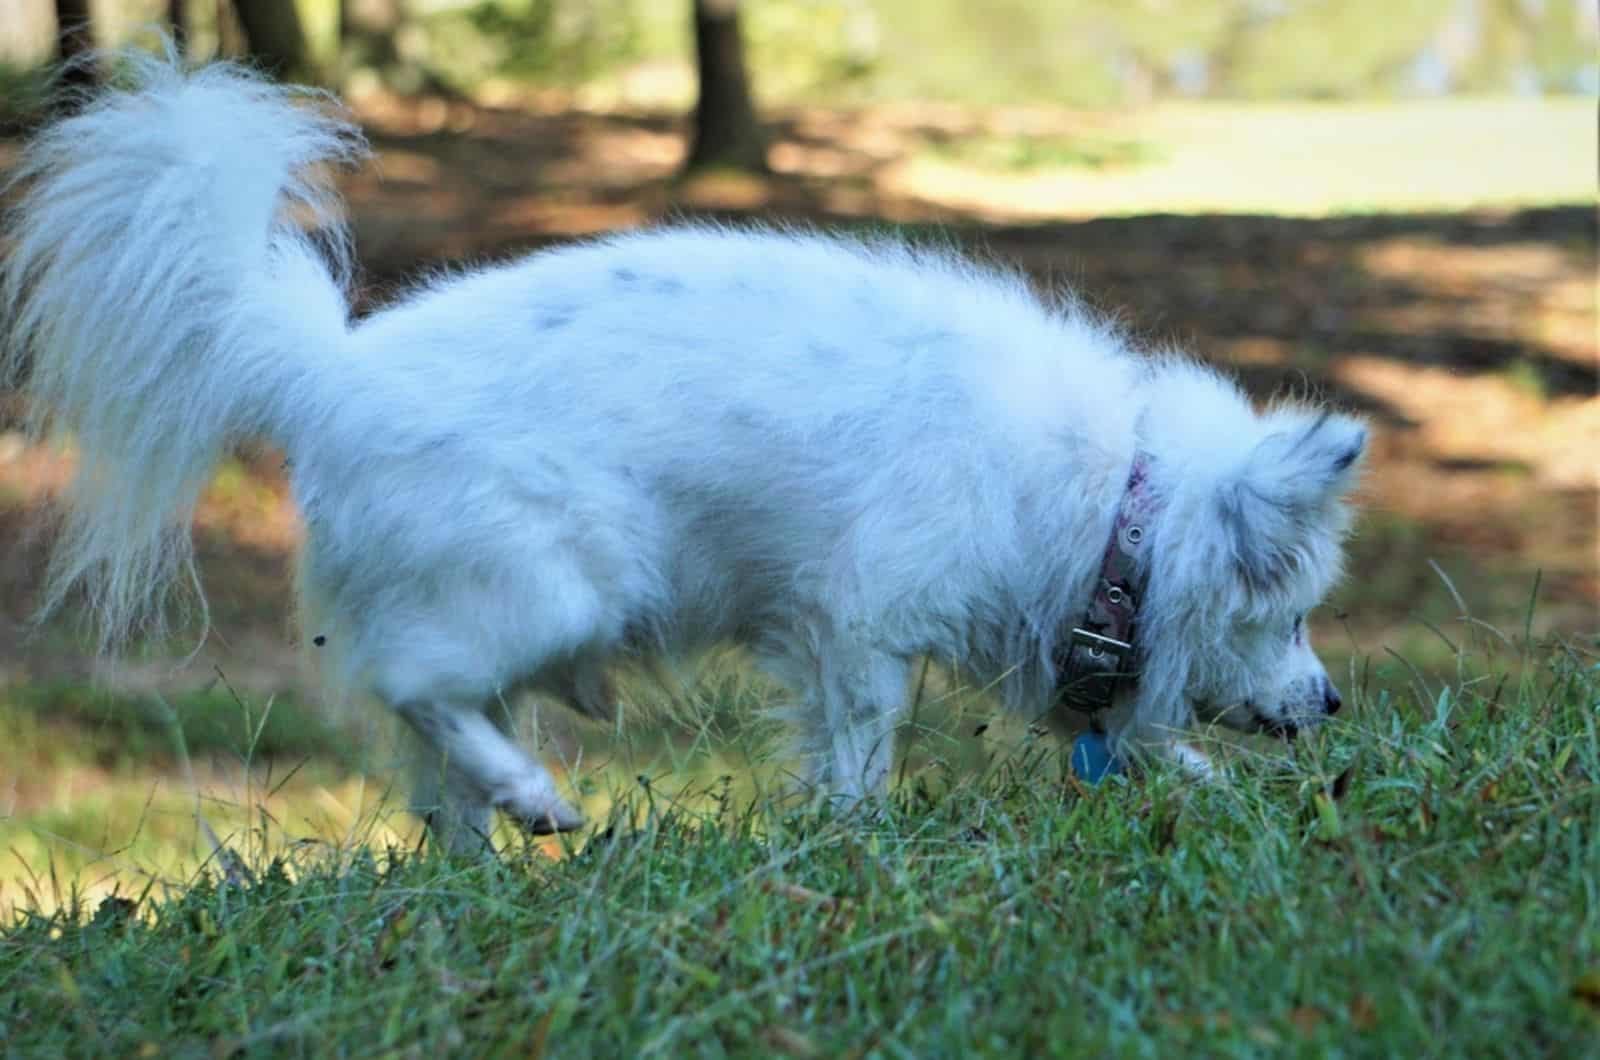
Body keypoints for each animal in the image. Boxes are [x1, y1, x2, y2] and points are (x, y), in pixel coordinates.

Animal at [0, 58, 1363, 858]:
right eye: (1294, 612)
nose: (1334, 702)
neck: (1116, 504)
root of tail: (326, 372)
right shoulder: (858, 626)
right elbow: (863, 748)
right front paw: (857, 845)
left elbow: (1150, 743)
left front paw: (1214, 789)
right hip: (556, 586)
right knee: (416, 686)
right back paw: (538, 797)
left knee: (433, 776)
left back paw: (481, 867)